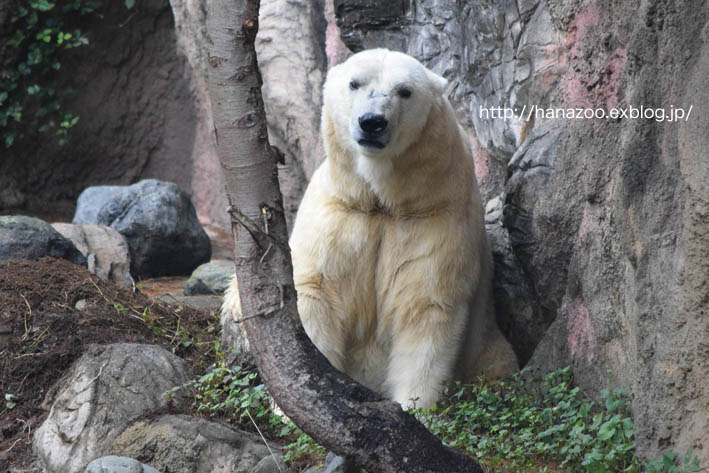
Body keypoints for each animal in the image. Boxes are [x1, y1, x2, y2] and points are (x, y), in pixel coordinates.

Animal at [224, 48, 516, 410]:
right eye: (355, 83)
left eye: (405, 91)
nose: (372, 122)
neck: (383, 199)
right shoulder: (340, 211)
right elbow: (317, 290)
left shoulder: (434, 215)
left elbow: (425, 301)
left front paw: (414, 407)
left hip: (491, 349)